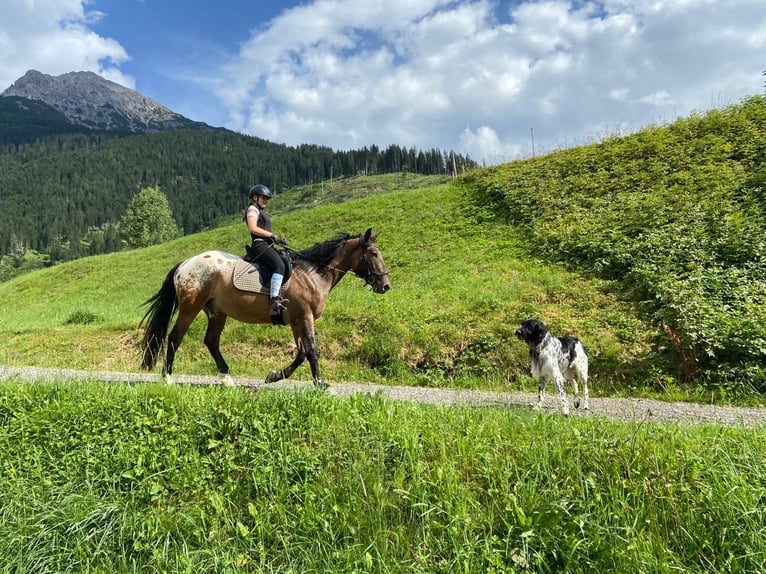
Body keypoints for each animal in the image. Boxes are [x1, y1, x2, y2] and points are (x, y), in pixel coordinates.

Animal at [140, 228, 390, 387]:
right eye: (374, 253)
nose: (386, 285)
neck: (313, 274)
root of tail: (185, 264)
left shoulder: (296, 319)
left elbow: (301, 352)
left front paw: (275, 375)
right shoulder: (305, 317)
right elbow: (311, 350)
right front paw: (319, 383)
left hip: (217, 312)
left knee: (211, 341)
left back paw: (227, 379)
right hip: (190, 307)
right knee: (175, 337)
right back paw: (168, 378)